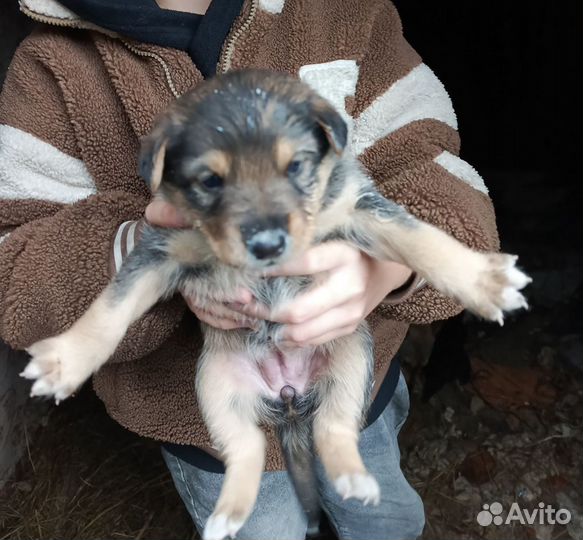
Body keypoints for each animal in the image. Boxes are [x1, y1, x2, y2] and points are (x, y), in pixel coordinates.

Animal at [21, 70, 532, 540]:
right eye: (210, 180)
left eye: (296, 166)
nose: (267, 245)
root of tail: (288, 399)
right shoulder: (160, 250)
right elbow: (111, 306)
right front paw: (65, 361)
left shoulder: (358, 206)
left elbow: (423, 238)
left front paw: (484, 281)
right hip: (214, 386)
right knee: (247, 447)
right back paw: (227, 516)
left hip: (352, 360)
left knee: (333, 428)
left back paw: (354, 479)